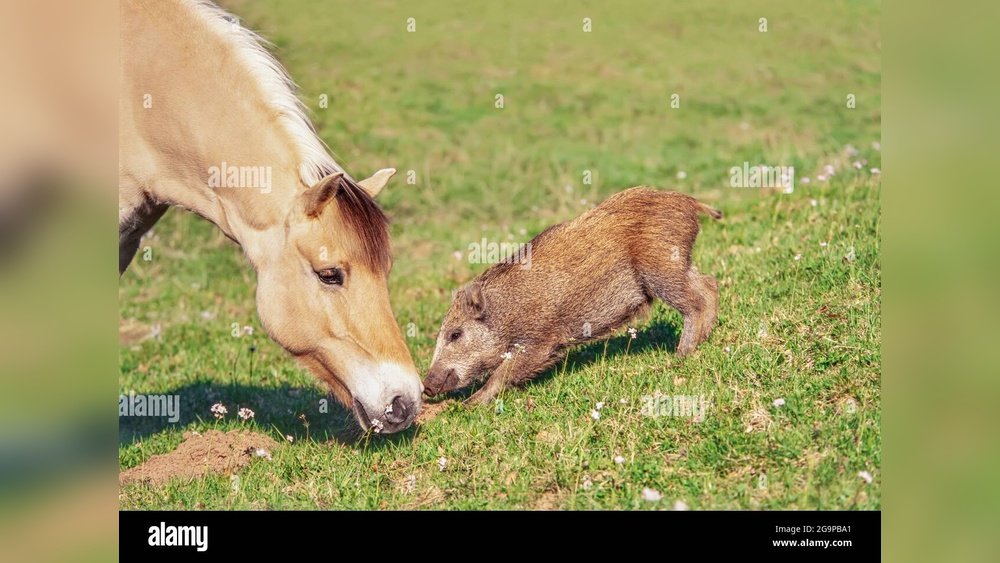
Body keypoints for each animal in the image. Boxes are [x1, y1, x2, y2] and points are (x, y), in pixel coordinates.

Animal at [423, 187, 722, 405]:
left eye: (455, 334)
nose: (426, 386)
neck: (507, 312)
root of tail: (690, 201)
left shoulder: (542, 339)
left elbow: (504, 372)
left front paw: (471, 404)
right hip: (680, 264)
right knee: (710, 285)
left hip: (661, 268)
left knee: (695, 302)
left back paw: (681, 355)